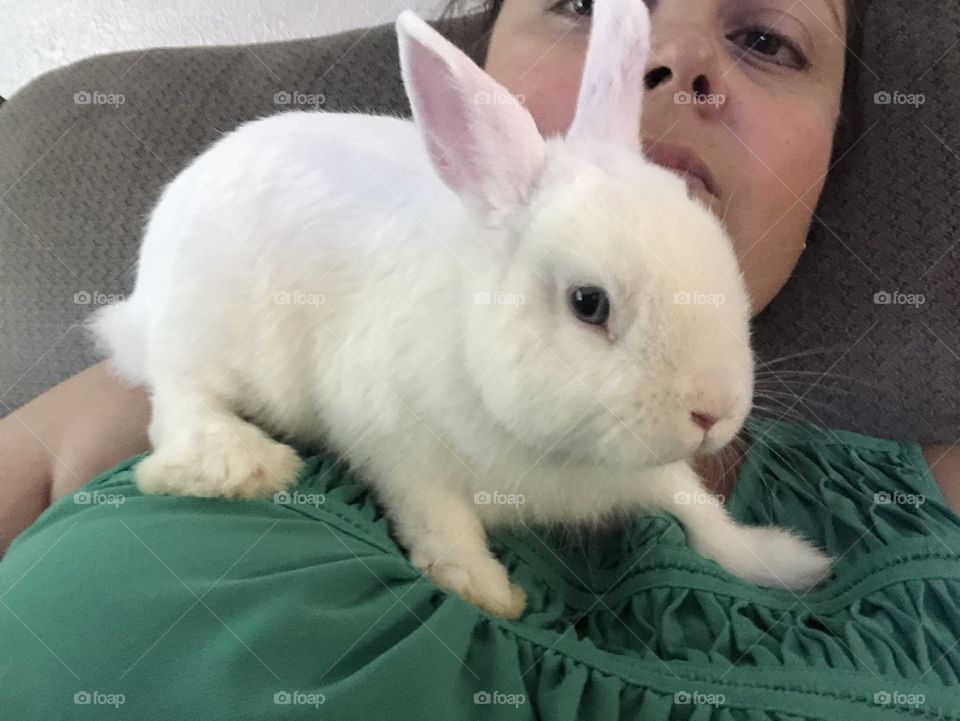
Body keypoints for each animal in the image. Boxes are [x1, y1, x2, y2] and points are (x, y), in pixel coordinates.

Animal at [86, 0, 832, 620]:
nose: (713, 414)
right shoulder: (398, 447)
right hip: (202, 334)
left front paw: (788, 560)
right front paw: (486, 589)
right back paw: (240, 464)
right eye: (588, 304)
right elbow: (442, 519)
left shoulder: (654, 471)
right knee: (181, 400)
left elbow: (700, 511)